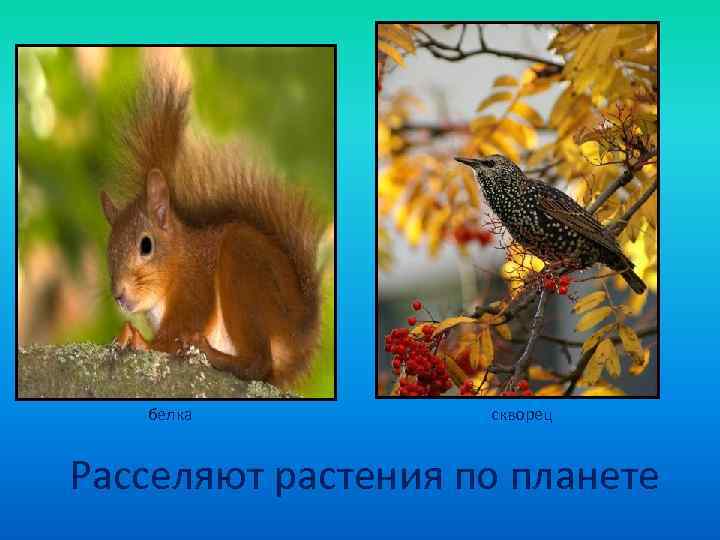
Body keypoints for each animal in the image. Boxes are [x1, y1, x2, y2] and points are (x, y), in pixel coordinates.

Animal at [99, 73, 322, 387]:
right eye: (108, 252)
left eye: (146, 245)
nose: (118, 294)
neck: (178, 263)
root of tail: (300, 333)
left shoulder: (195, 287)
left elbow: (173, 337)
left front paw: (138, 340)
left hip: (243, 266)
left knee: (257, 363)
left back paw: (211, 354)